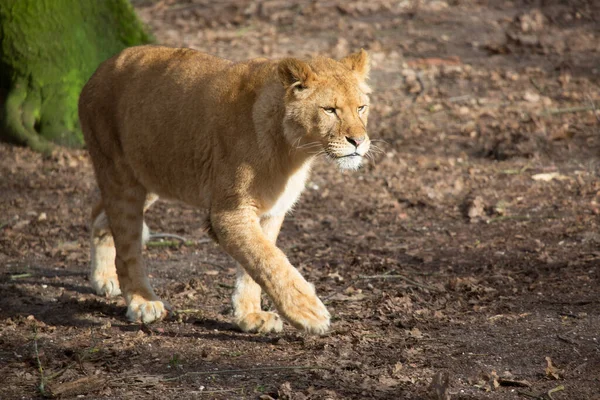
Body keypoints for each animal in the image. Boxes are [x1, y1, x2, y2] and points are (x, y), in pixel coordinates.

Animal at [79, 45, 370, 334]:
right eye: (330, 110)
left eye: (361, 108)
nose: (358, 141)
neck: (294, 151)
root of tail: (99, 69)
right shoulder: (229, 213)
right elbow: (269, 260)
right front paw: (308, 311)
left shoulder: (271, 211)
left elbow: (256, 264)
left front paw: (250, 315)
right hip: (120, 175)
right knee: (126, 245)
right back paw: (142, 302)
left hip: (151, 176)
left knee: (99, 216)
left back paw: (103, 278)